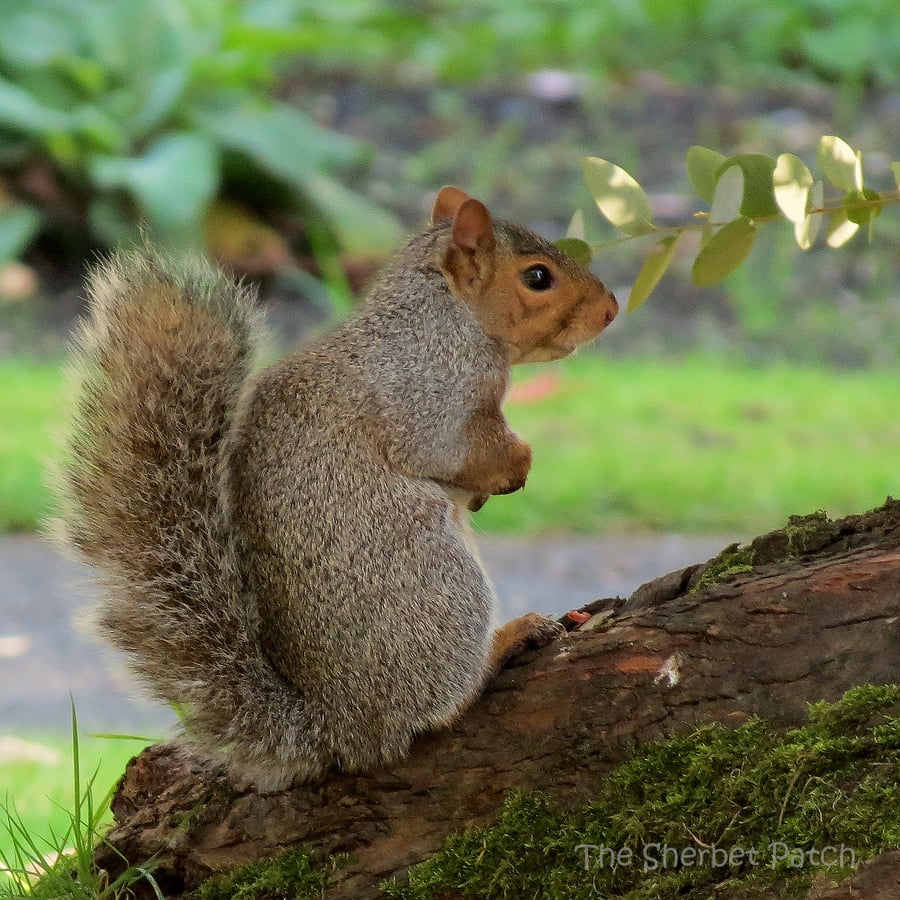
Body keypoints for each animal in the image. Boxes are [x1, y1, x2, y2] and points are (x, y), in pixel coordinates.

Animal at [57, 186, 618, 787]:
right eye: (538, 277)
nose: (612, 308)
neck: (444, 318)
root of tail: (343, 728)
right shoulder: (431, 400)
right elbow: (456, 449)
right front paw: (515, 466)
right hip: (435, 583)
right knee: (438, 708)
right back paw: (505, 642)